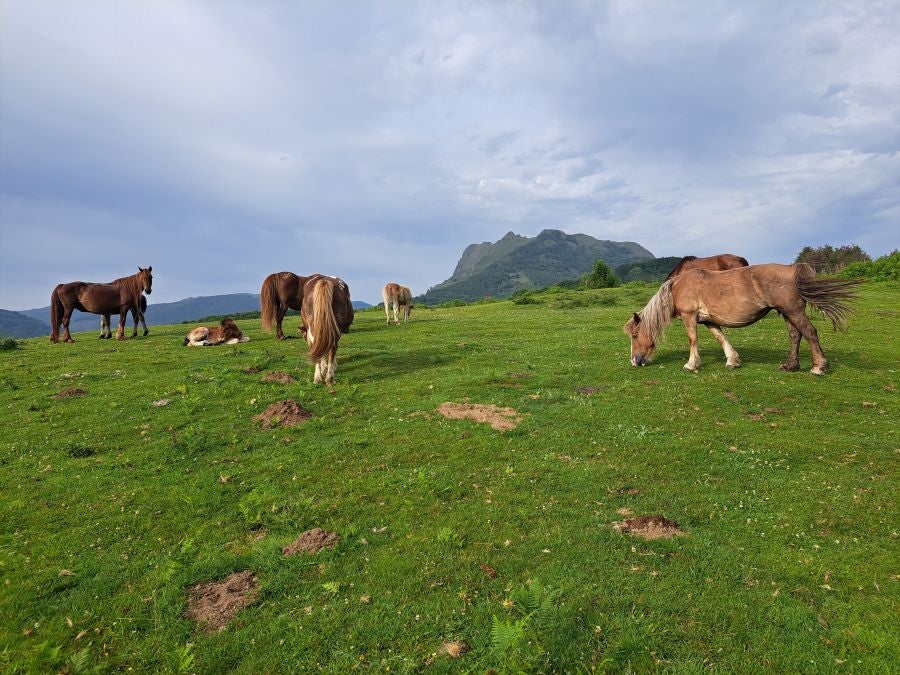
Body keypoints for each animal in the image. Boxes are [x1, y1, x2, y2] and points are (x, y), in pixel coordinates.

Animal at [624, 264, 856, 378]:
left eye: (635, 335)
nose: (634, 361)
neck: (677, 288)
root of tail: (793, 269)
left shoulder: (690, 317)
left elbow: (693, 340)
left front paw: (691, 364)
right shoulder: (708, 321)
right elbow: (720, 338)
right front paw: (732, 360)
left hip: (794, 311)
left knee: (809, 333)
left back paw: (819, 367)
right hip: (787, 313)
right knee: (795, 335)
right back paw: (790, 365)